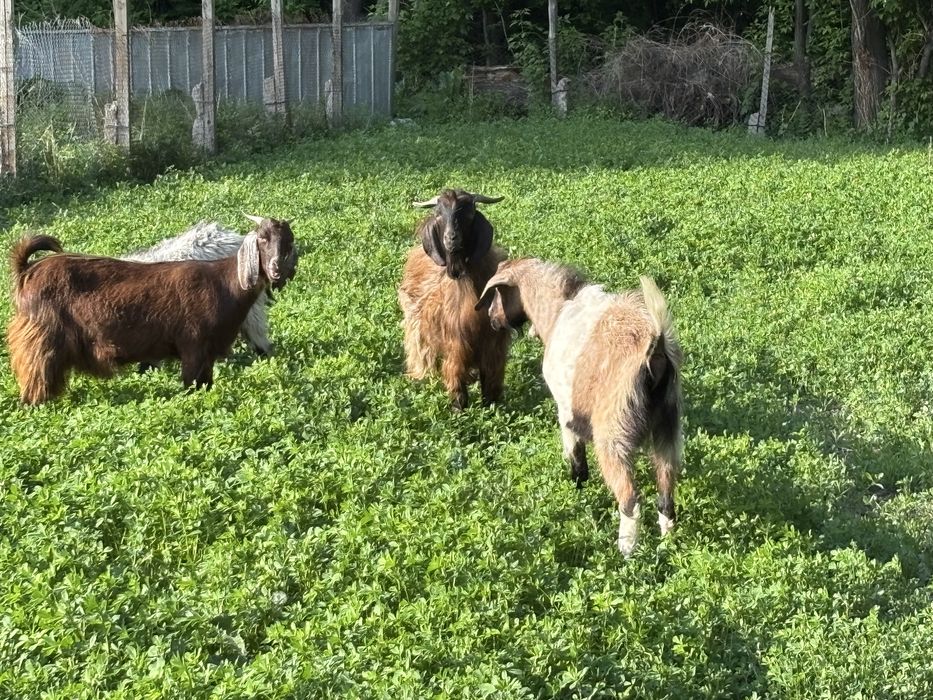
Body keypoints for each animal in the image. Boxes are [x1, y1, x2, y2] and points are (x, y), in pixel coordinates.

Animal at [398, 189, 511, 410]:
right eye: (439, 213)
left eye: (469, 213)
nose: (451, 238)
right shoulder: (455, 341)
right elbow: (454, 370)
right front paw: (458, 405)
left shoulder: (493, 343)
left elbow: (491, 373)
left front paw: (491, 403)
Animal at [476, 258, 683, 555]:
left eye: (495, 294)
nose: (492, 319)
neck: (560, 307)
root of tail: (655, 349)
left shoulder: (566, 410)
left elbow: (576, 457)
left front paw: (577, 491)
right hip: (668, 430)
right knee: (666, 498)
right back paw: (668, 546)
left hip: (612, 437)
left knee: (630, 499)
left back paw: (626, 551)